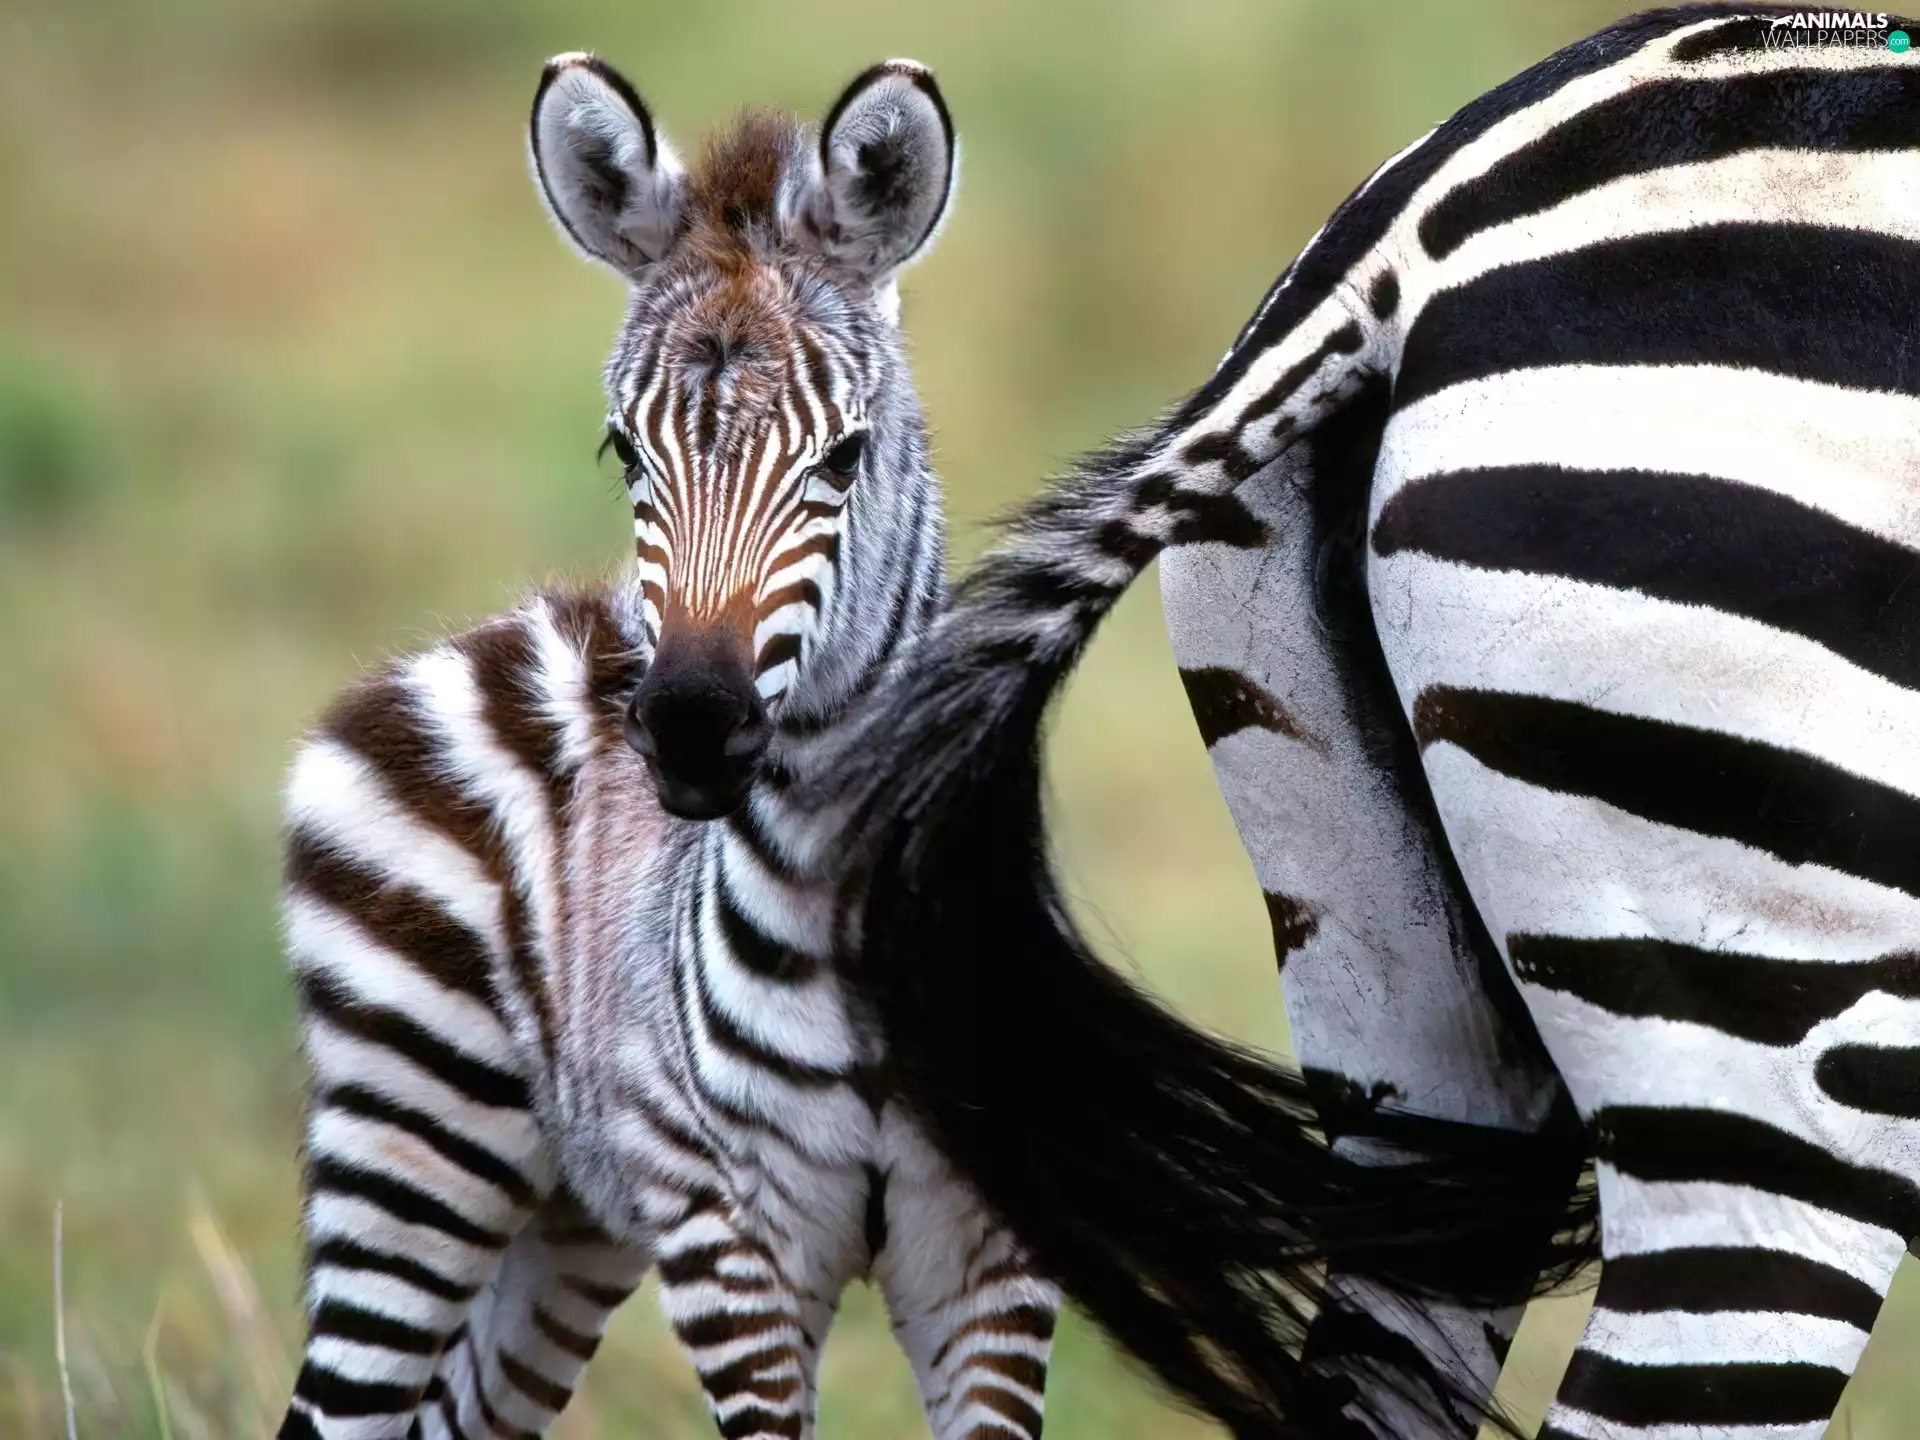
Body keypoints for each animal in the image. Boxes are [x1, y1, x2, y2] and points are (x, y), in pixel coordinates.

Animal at [275, 55, 1068, 1440]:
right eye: (623, 450)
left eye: (846, 456)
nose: (691, 722)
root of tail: (509, 630)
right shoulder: (729, 1246)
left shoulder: (993, 1263)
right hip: (413, 1131)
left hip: (568, 1213)